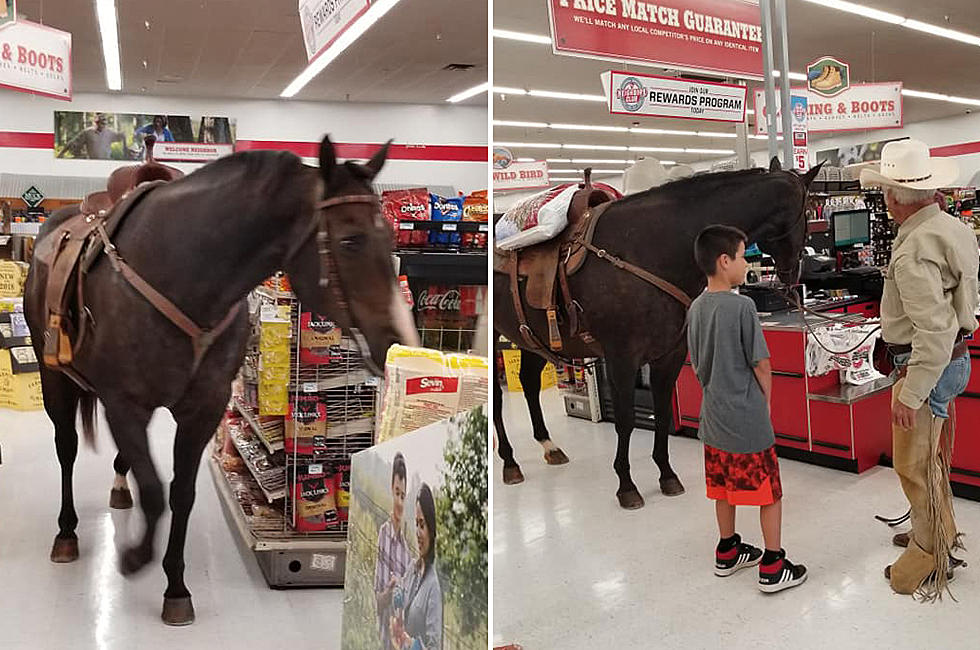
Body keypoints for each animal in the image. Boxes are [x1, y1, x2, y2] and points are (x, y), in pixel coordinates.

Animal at [25, 135, 418, 624]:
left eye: (391, 237)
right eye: (350, 241)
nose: (397, 340)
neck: (186, 277)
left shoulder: (203, 410)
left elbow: (181, 494)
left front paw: (175, 586)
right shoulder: (125, 404)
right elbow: (154, 490)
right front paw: (136, 557)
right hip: (53, 376)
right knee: (67, 449)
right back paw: (66, 532)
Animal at [490, 157, 820, 506]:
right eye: (807, 210)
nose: (794, 274)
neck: (649, 248)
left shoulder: (669, 355)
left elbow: (662, 413)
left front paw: (667, 474)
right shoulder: (621, 357)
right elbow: (624, 421)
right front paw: (626, 484)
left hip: (531, 337)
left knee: (528, 382)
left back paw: (548, 445)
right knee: (496, 398)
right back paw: (509, 461)